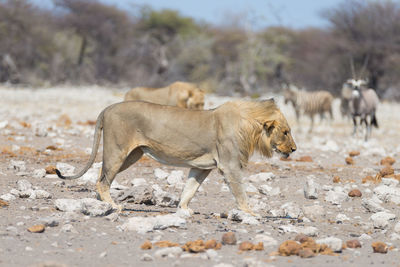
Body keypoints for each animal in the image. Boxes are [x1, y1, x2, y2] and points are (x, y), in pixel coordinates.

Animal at [54, 99, 296, 217]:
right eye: (286, 132)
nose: (294, 149)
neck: (250, 129)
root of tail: (107, 108)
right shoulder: (230, 166)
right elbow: (240, 192)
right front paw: (250, 213)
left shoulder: (202, 166)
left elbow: (190, 188)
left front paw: (183, 209)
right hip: (118, 150)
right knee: (103, 180)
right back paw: (112, 205)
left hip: (132, 155)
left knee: (100, 177)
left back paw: (99, 203)